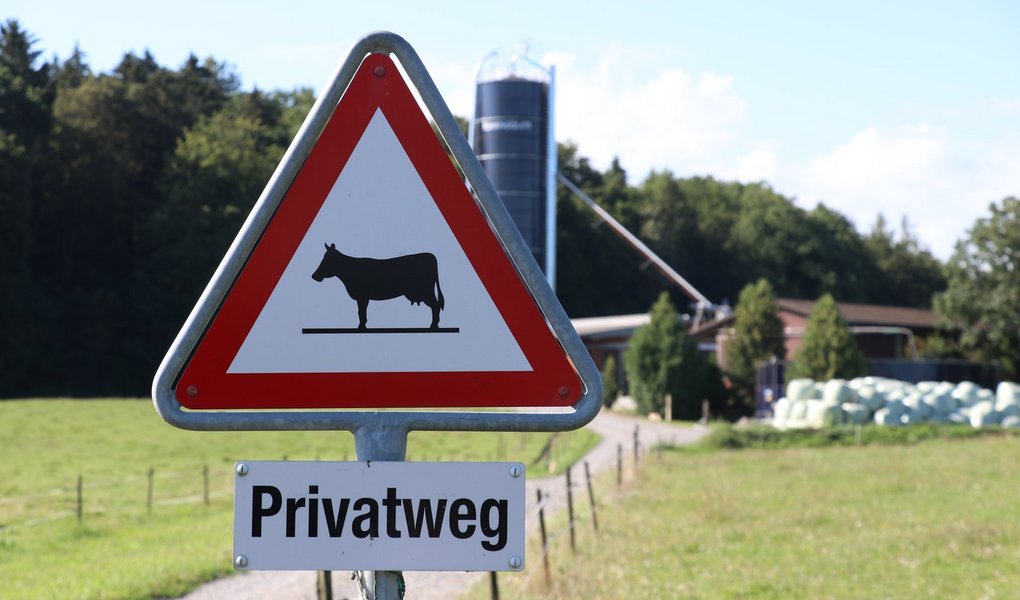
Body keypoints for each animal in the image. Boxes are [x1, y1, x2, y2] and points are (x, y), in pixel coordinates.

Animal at [311, 243, 445, 330]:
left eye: (328, 259)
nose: (314, 276)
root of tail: (431, 256)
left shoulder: (362, 296)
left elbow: (361, 311)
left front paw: (361, 326)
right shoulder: (362, 298)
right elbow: (361, 311)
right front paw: (362, 325)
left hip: (426, 291)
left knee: (436, 306)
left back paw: (433, 325)